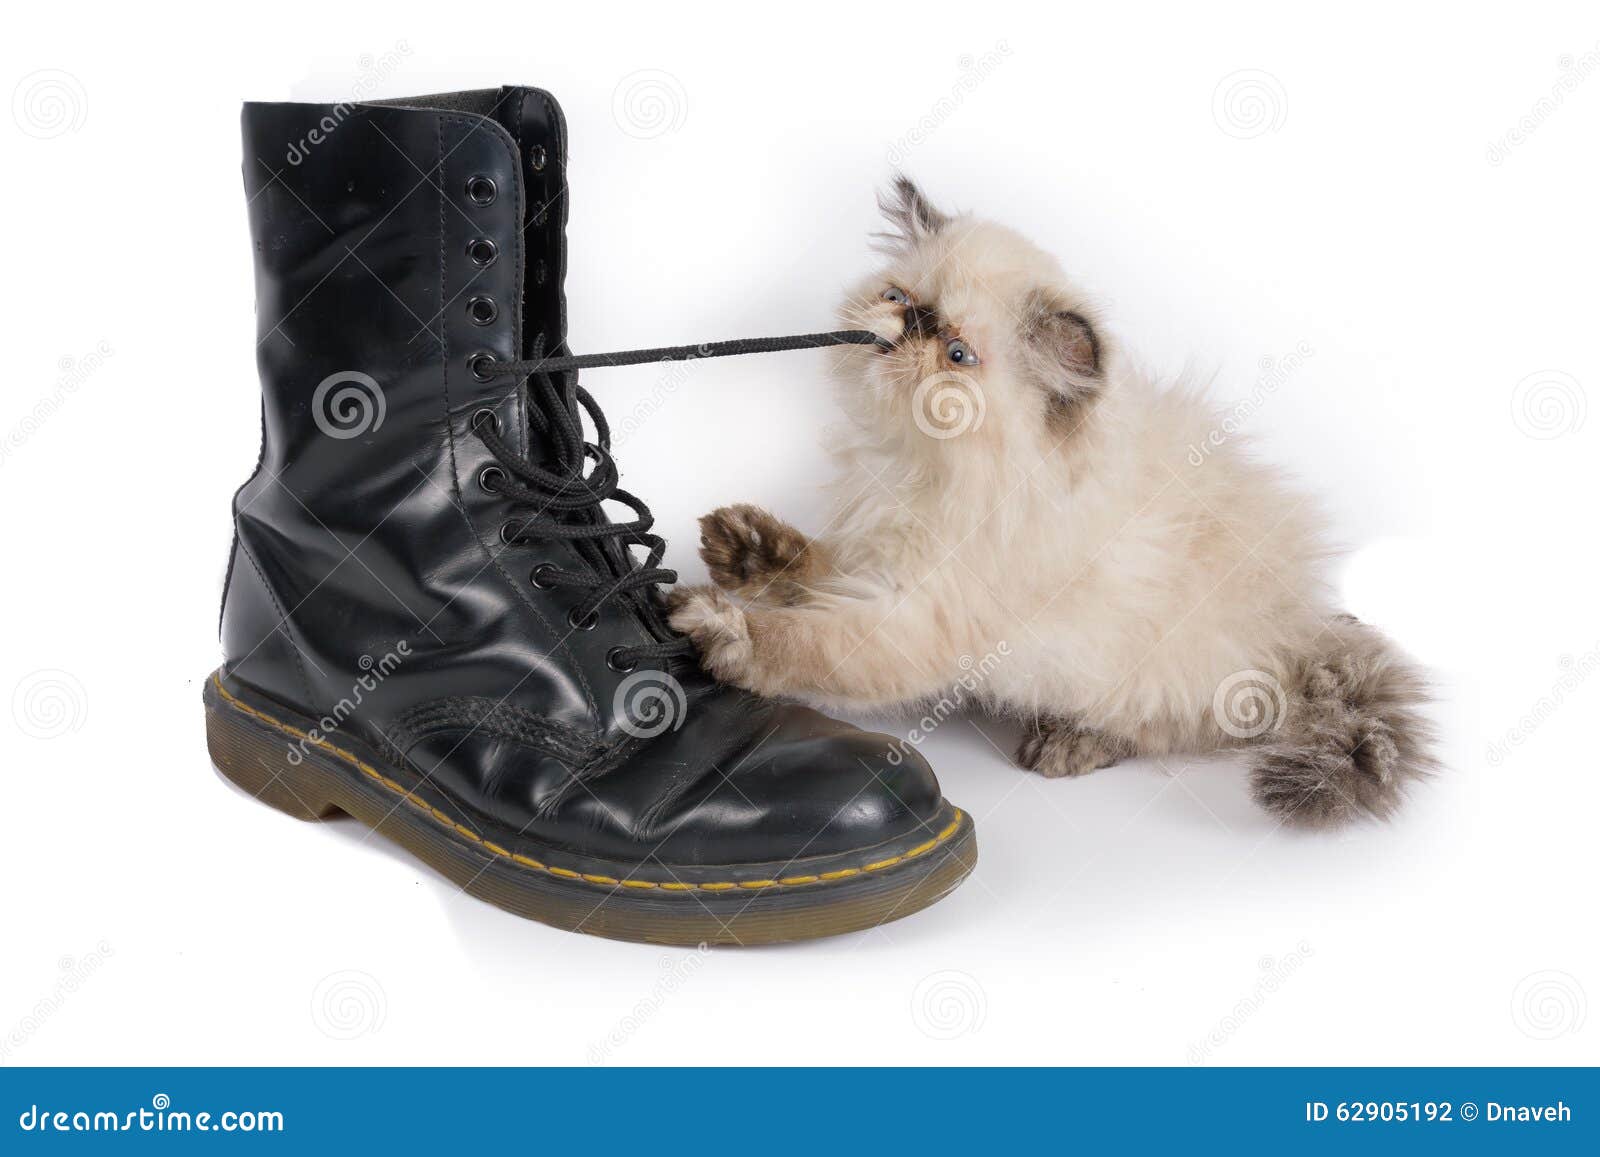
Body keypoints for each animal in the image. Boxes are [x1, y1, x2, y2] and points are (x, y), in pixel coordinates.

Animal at [668, 178, 1433, 832]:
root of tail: (1300, 630)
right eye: (900, 295)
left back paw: (1069, 743)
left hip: (1157, 666)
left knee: (1168, 725)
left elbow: (809, 643)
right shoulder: (872, 553)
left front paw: (728, 632)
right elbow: (813, 569)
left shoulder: (918, 612)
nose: (910, 324)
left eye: (956, 354)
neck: (915, 467)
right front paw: (750, 550)